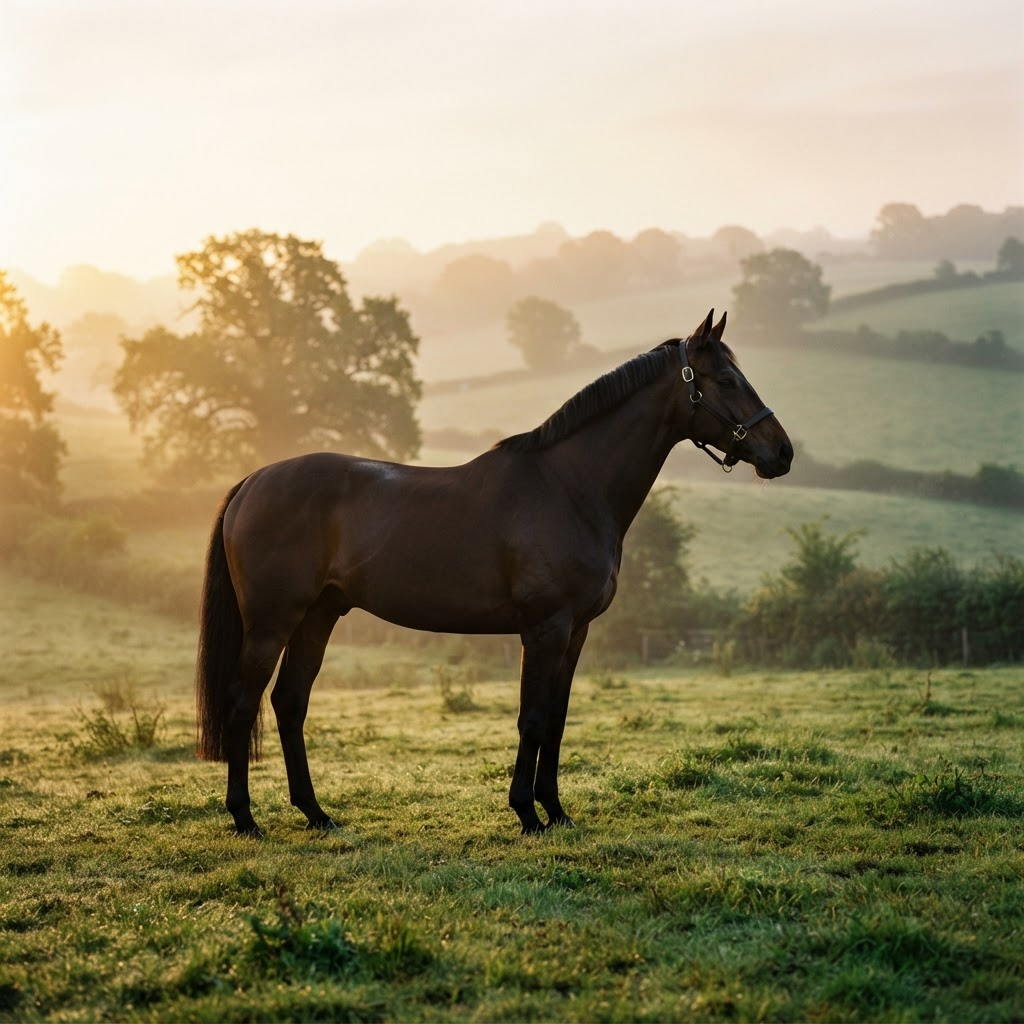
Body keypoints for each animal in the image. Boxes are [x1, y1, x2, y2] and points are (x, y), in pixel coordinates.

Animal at [195, 309, 793, 836]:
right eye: (726, 380)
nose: (782, 453)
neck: (569, 488)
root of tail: (252, 481)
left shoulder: (576, 631)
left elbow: (556, 718)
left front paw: (557, 812)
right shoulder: (545, 628)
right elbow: (532, 718)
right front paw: (527, 813)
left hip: (319, 616)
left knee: (289, 703)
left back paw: (316, 814)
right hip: (271, 623)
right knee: (244, 703)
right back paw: (245, 819)